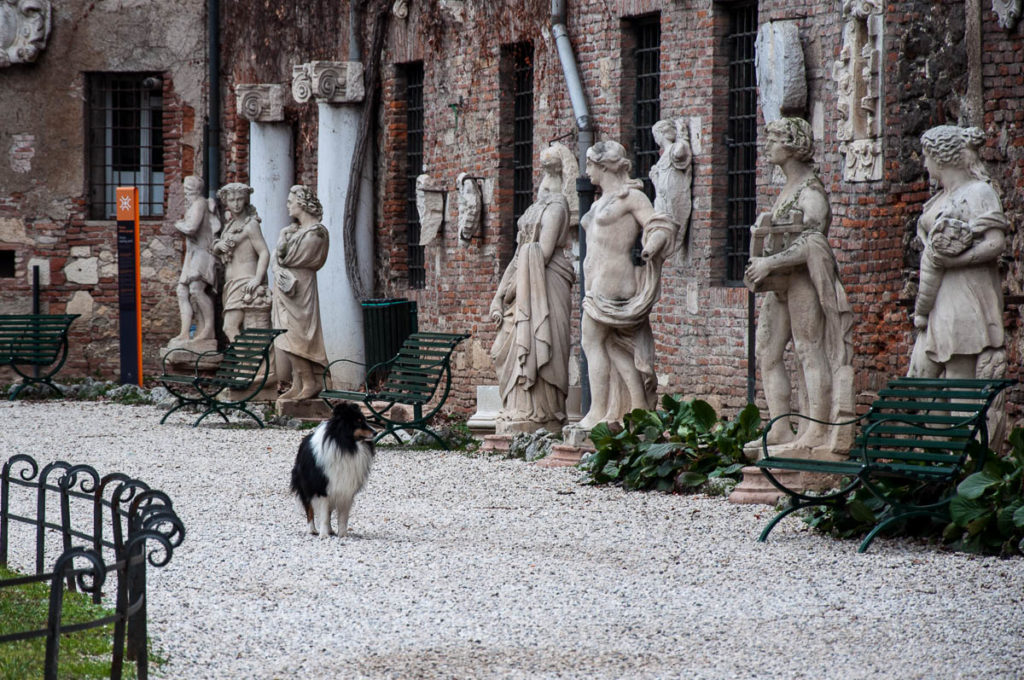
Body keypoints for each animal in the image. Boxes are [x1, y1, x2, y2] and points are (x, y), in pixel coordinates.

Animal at [288, 401, 376, 540]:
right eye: (358, 421)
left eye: (364, 420)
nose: (376, 432)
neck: (345, 446)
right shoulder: (322, 488)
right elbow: (323, 515)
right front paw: (323, 535)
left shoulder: (345, 490)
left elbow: (342, 517)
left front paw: (343, 534)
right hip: (306, 485)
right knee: (309, 509)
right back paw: (312, 530)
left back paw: (330, 530)